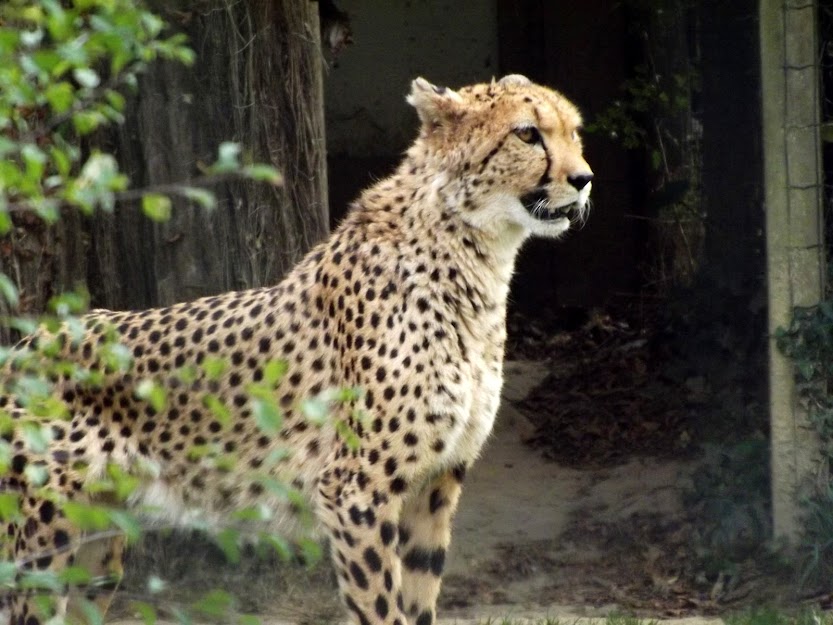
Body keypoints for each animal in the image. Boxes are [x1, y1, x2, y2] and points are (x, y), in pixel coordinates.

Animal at [0, 74, 592, 624]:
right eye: (527, 133)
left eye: (573, 132)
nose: (584, 179)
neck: (473, 257)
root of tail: (28, 341)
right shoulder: (356, 492)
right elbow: (381, 606)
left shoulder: (436, 482)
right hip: (40, 542)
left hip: (97, 546)